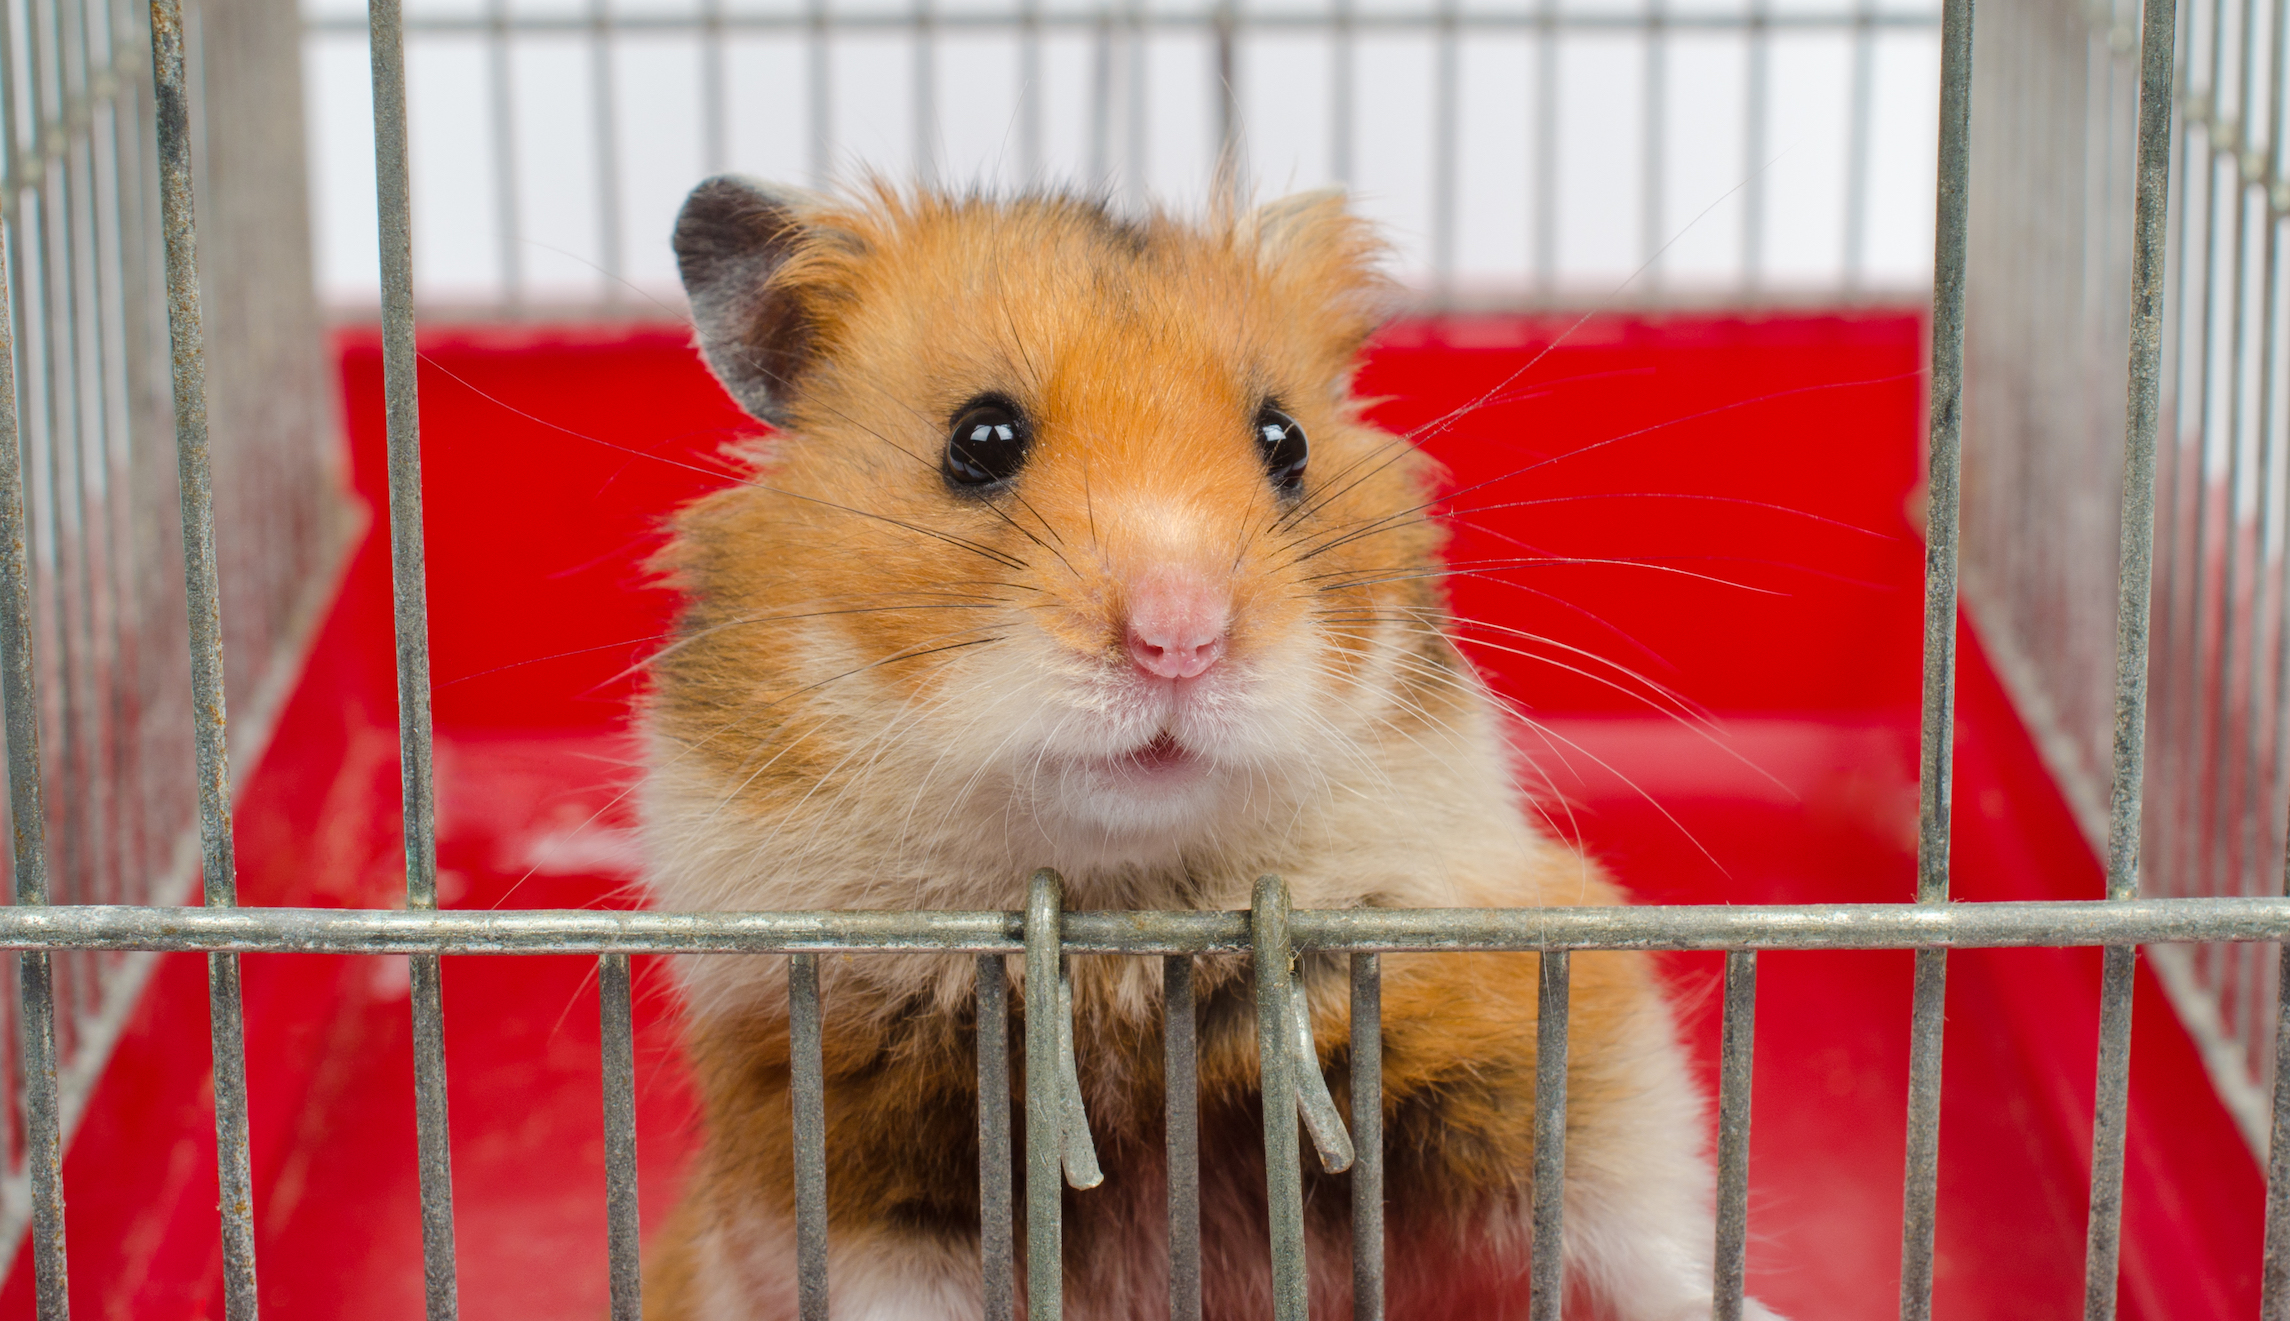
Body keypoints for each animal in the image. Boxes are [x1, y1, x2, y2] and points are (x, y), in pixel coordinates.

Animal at [639, 176, 1786, 1321]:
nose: (1179, 639)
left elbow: (1639, 1227)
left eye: (1287, 441)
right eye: (980, 440)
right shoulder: (851, 1174)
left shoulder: (1534, 1050)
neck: (1137, 930)